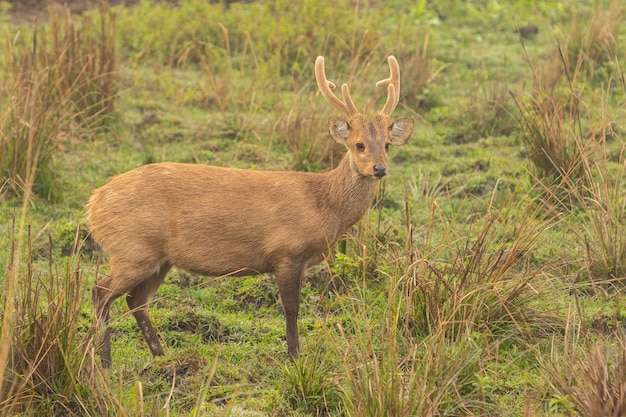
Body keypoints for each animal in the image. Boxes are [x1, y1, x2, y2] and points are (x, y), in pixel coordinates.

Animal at [85, 56, 412, 368]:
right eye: (358, 145)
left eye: (386, 145)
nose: (379, 169)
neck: (322, 206)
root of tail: (94, 204)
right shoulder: (286, 252)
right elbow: (291, 308)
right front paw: (294, 357)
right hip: (132, 248)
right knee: (101, 291)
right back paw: (105, 360)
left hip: (157, 258)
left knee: (136, 300)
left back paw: (159, 356)